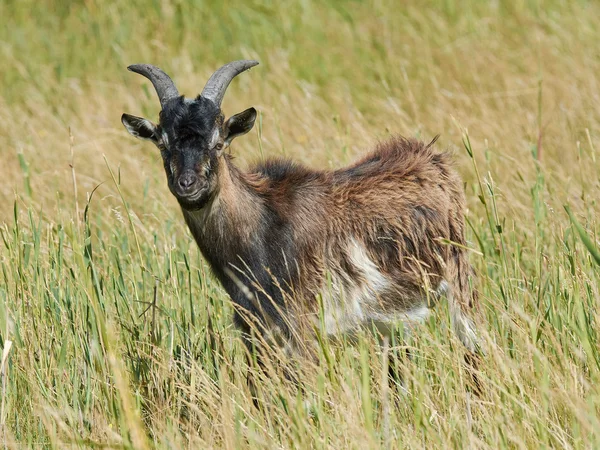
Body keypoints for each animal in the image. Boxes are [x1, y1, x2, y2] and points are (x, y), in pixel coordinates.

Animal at [122, 59, 482, 384]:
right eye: (163, 144)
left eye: (219, 142)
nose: (187, 185)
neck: (264, 227)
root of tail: (434, 158)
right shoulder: (254, 330)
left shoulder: (303, 326)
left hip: (460, 285)